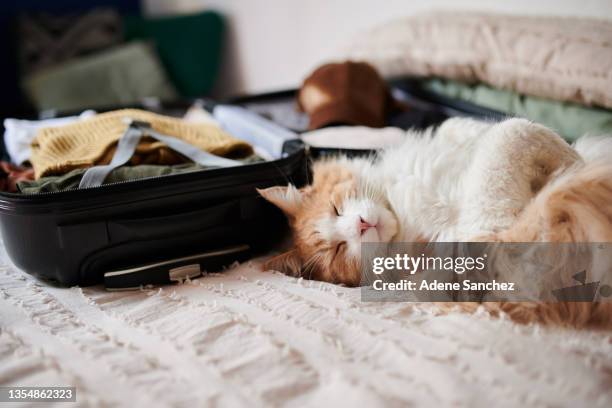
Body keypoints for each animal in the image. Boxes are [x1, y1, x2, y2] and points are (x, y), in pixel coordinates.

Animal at [258, 117, 612, 326]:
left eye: (335, 208)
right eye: (338, 250)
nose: (361, 225)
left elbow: (471, 127)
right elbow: (510, 137)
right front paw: (574, 163)